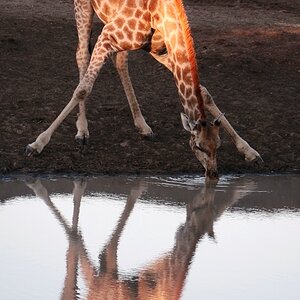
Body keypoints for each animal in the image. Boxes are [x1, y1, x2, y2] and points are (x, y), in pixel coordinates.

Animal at [27, 0, 264, 178]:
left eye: (218, 145)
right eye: (198, 146)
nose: (213, 174)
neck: (161, 13)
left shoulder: (159, 50)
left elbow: (205, 92)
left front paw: (250, 151)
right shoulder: (107, 36)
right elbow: (83, 88)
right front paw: (37, 144)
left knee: (120, 61)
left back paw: (143, 126)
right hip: (84, 7)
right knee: (82, 55)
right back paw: (82, 131)